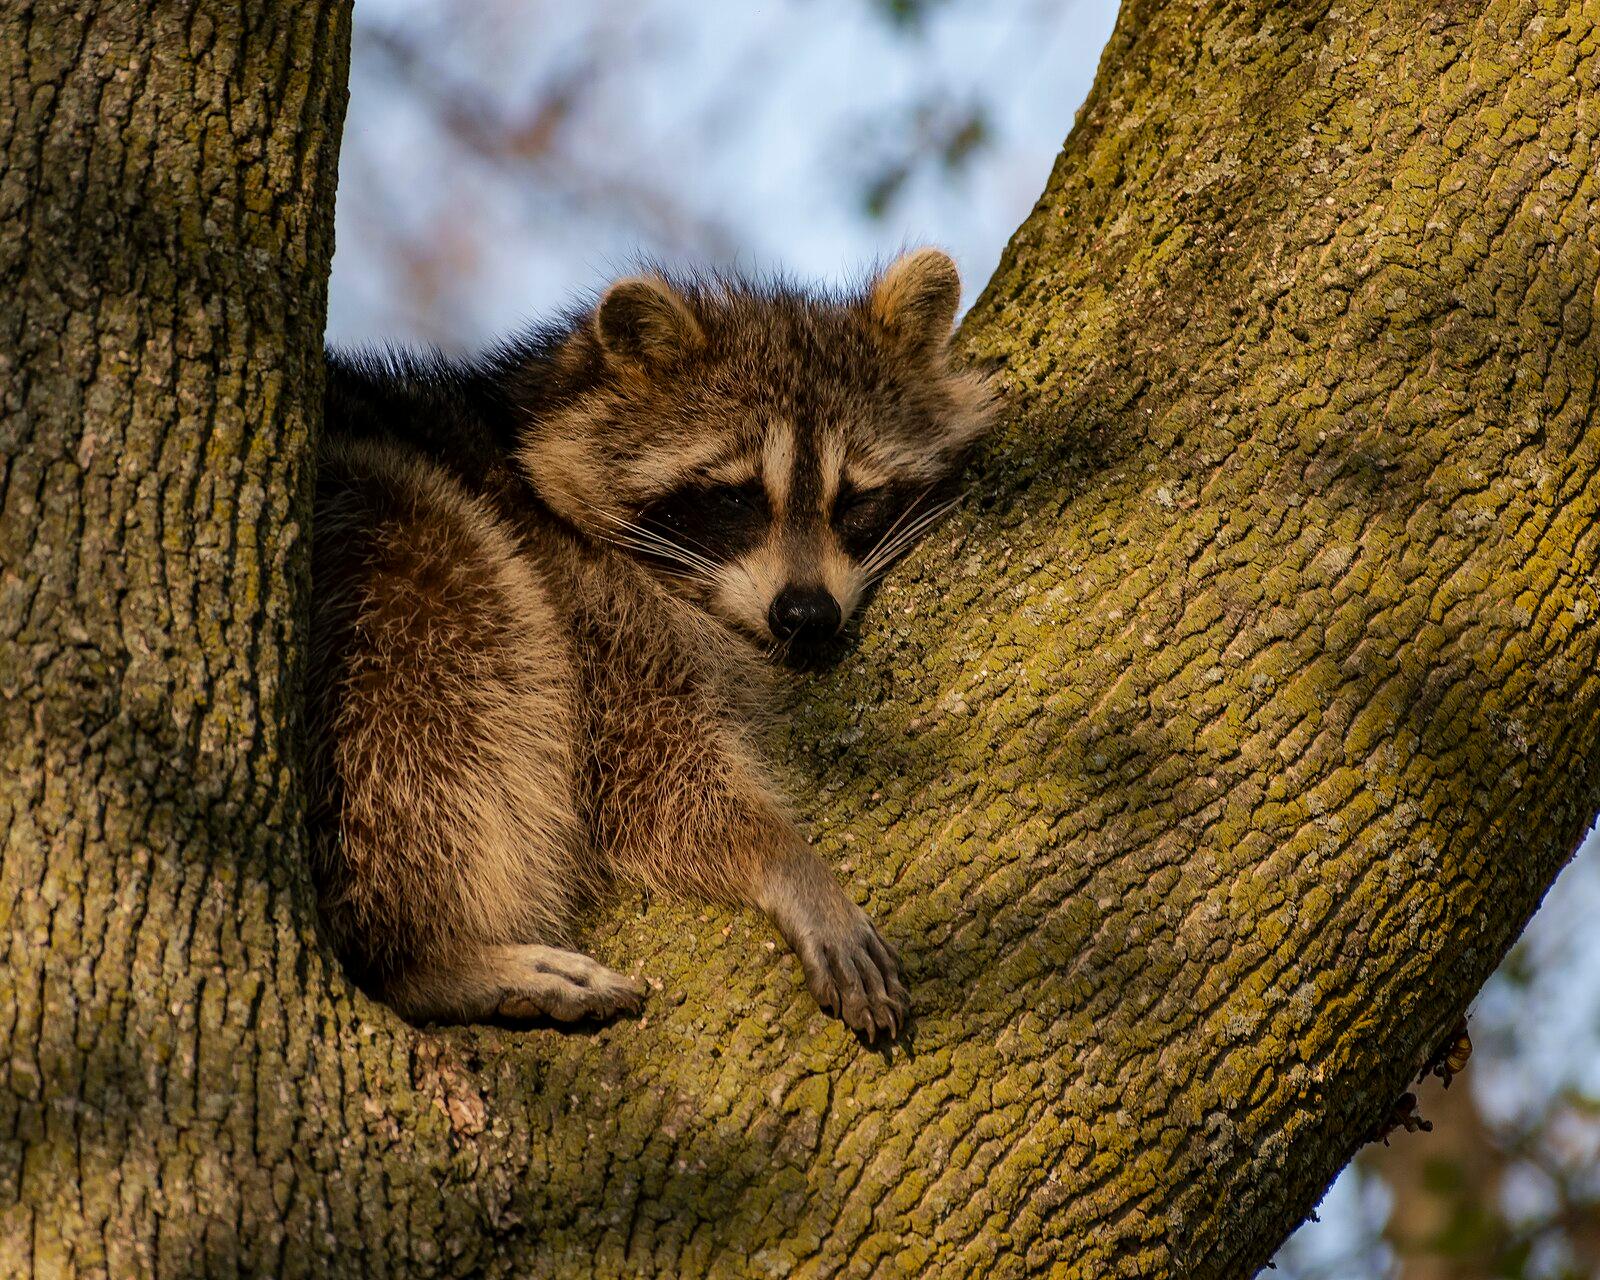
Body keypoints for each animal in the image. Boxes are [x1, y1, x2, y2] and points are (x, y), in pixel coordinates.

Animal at [308, 249, 993, 1043]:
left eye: (856, 500)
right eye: (735, 498)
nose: (806, 615)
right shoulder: (590, 614)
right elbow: (653, 785)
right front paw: (782, 857)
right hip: (384, 567)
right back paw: (423, 958)